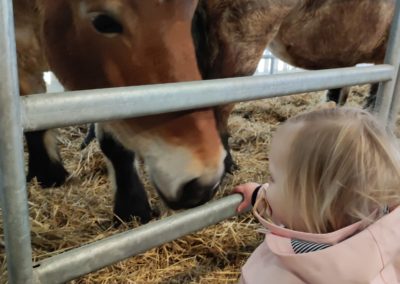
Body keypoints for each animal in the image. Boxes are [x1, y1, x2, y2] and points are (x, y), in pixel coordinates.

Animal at [14, 0, 227, 223]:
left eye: (191, 13)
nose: (204, 183)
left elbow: (115, 145)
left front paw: (131, 207)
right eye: (103, 22)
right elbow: (35, 126)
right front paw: (47, 175)